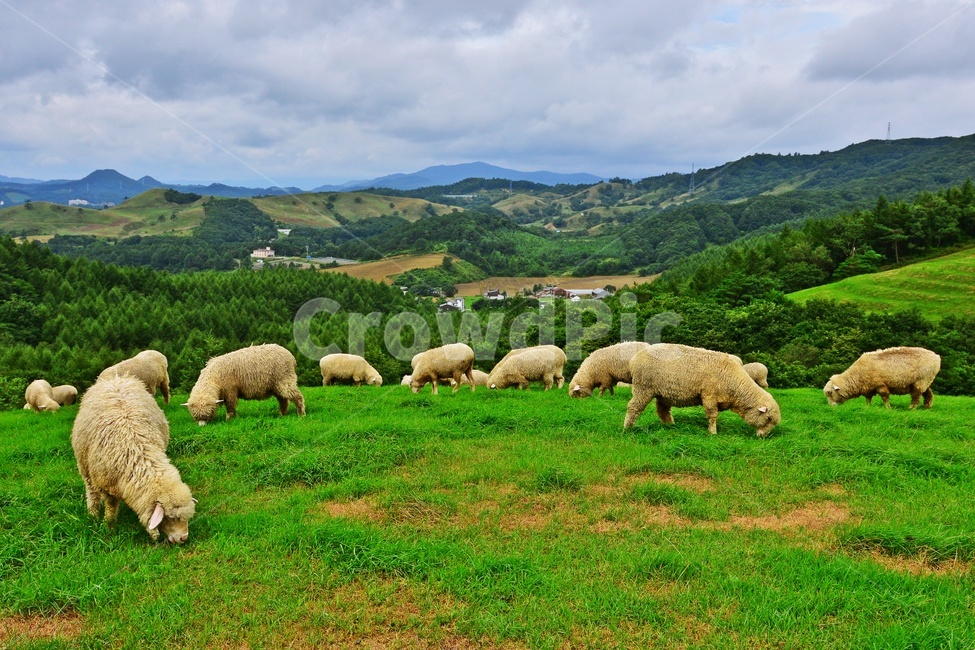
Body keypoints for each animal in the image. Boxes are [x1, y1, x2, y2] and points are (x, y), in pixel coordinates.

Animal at [71, 375, 196, 543]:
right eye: (170, 517)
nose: (184, 538)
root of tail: (116, 378)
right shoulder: (106, 483)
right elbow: (110, 506)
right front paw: (109, 525)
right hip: (84, 465)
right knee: (91, 490)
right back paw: (93, 513)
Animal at [624, 343, 781, 437]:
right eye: (768, 419)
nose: (763, 437)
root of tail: (634, 358)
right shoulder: (709, 395)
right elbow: (712, 415)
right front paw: (713, 433)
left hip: (662, 393)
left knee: (663, 411)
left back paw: (670, 426)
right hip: (643, 387)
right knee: (633, 407)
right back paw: (627, 428)